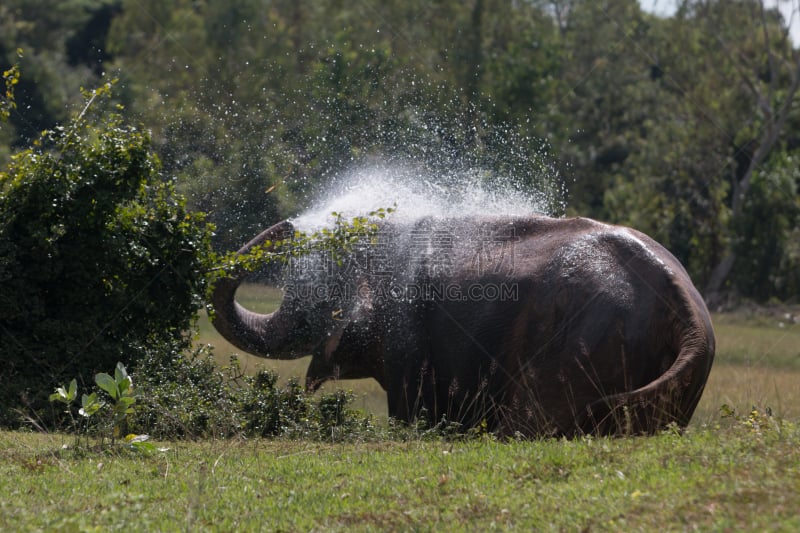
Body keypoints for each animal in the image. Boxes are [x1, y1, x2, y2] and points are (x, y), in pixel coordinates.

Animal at [209, 213, 716, 436]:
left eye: (310, 292)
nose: (292, 226)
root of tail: (684, 303)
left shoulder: (407, 331)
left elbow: (410, 413)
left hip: (581, 346)